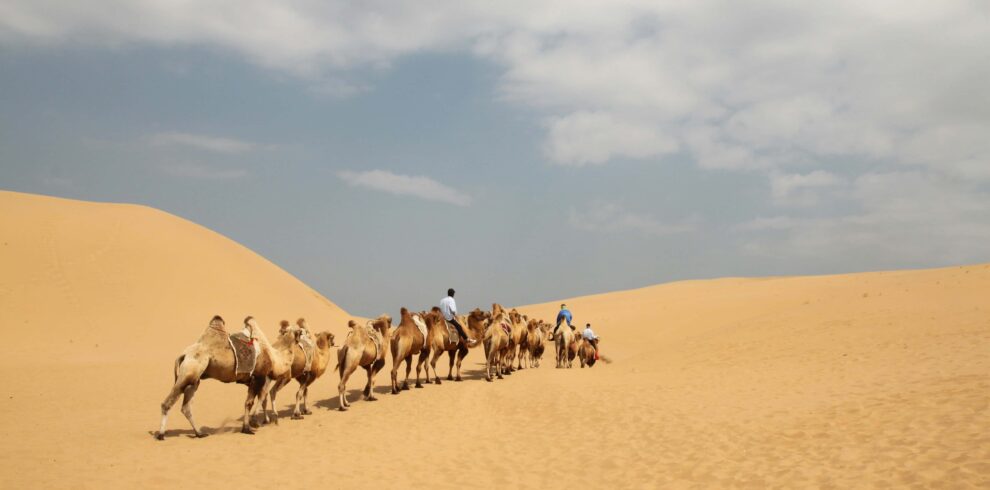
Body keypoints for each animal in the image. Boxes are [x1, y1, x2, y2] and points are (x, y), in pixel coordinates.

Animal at [156, 315, 299, 439]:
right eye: (298, 331)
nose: (301, 332)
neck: (275, 359)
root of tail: (184, 354)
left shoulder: (252, 380)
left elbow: (253, 400)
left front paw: (248, 426)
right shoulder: (259, 376)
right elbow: (253, 401)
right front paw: (250, 426)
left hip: (195, 379)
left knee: (186, 407)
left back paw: (200, 433)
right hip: (188, 373)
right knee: (167, 403)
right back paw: (161, 435)